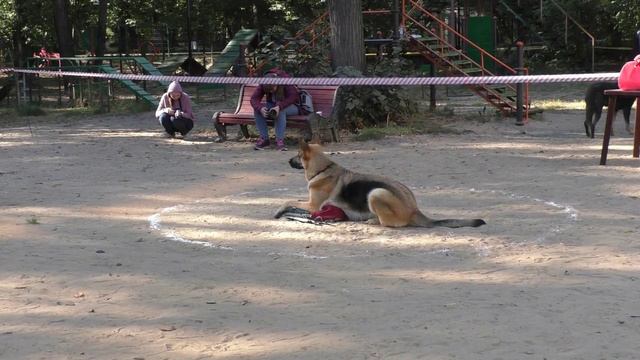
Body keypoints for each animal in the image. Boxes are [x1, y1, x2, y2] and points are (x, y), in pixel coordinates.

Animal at [276, 141, 484, 228]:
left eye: (297, 155)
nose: (287, 160)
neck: (323, 168)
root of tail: (414, 209)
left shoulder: (313, 205)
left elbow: (288, 200)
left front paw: (279, 210)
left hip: (376, 193)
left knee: (389, 223)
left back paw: (372, 221)